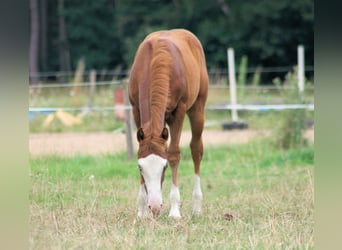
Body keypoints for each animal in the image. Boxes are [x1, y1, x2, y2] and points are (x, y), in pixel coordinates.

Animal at [128, 28, 208, 218]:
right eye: (140, 168)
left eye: (164, 167)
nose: (155, 207)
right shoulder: (135, 109)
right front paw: (141, 211)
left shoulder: (179, 111)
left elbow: (173, 154)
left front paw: (174, 211)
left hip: (198, 107)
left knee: (196, 149)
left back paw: (197, 207)